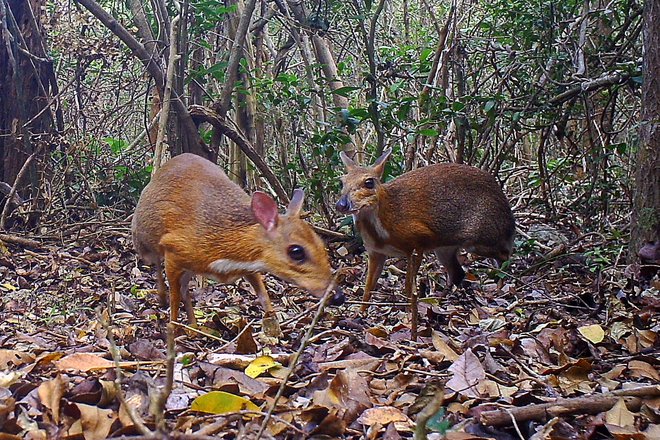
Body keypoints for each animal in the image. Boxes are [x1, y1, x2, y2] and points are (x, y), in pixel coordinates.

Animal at [131, 154, 342, 330]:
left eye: (320, 244)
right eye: (296, 251)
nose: (339, 296)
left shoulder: (250, 266)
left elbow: (264, 295)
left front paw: (277, 330)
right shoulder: (173, 248)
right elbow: (174, 298)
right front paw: (173, 329)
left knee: (184, 288)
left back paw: (194, 327)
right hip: (143, 241)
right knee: (157, 265)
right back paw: (162, 299)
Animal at [336, 150, 516, 338]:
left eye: (369, 182)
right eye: (342, 182)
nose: (341, 204)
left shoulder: (418, 241)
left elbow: (408, 286)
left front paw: (409, 315)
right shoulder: (375, 252)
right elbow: (368, 287)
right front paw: (360, 313)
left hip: (482, 239)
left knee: (505, 256)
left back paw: (500, 288)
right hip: (445, 248)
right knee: (457, 273)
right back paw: (439, 300)